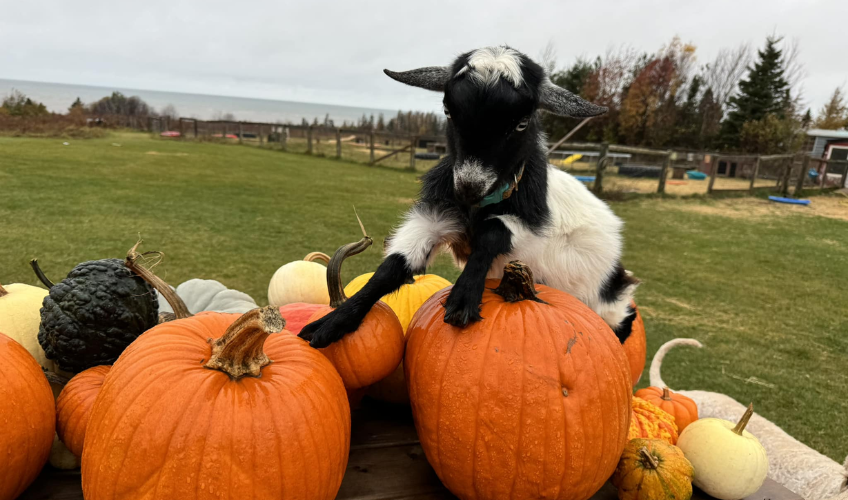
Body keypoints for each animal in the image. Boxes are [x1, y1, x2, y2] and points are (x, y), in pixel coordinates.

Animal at [302, 46, 640, 348]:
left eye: (521, 123)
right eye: (448, 111)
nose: (468, 187)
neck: (477, 207)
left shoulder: (530, 230)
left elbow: (493, 232)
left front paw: (463, 298)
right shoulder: (437, 215)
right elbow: (392, 267)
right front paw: (332, 322)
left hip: (604, 302)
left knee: (623, 324)